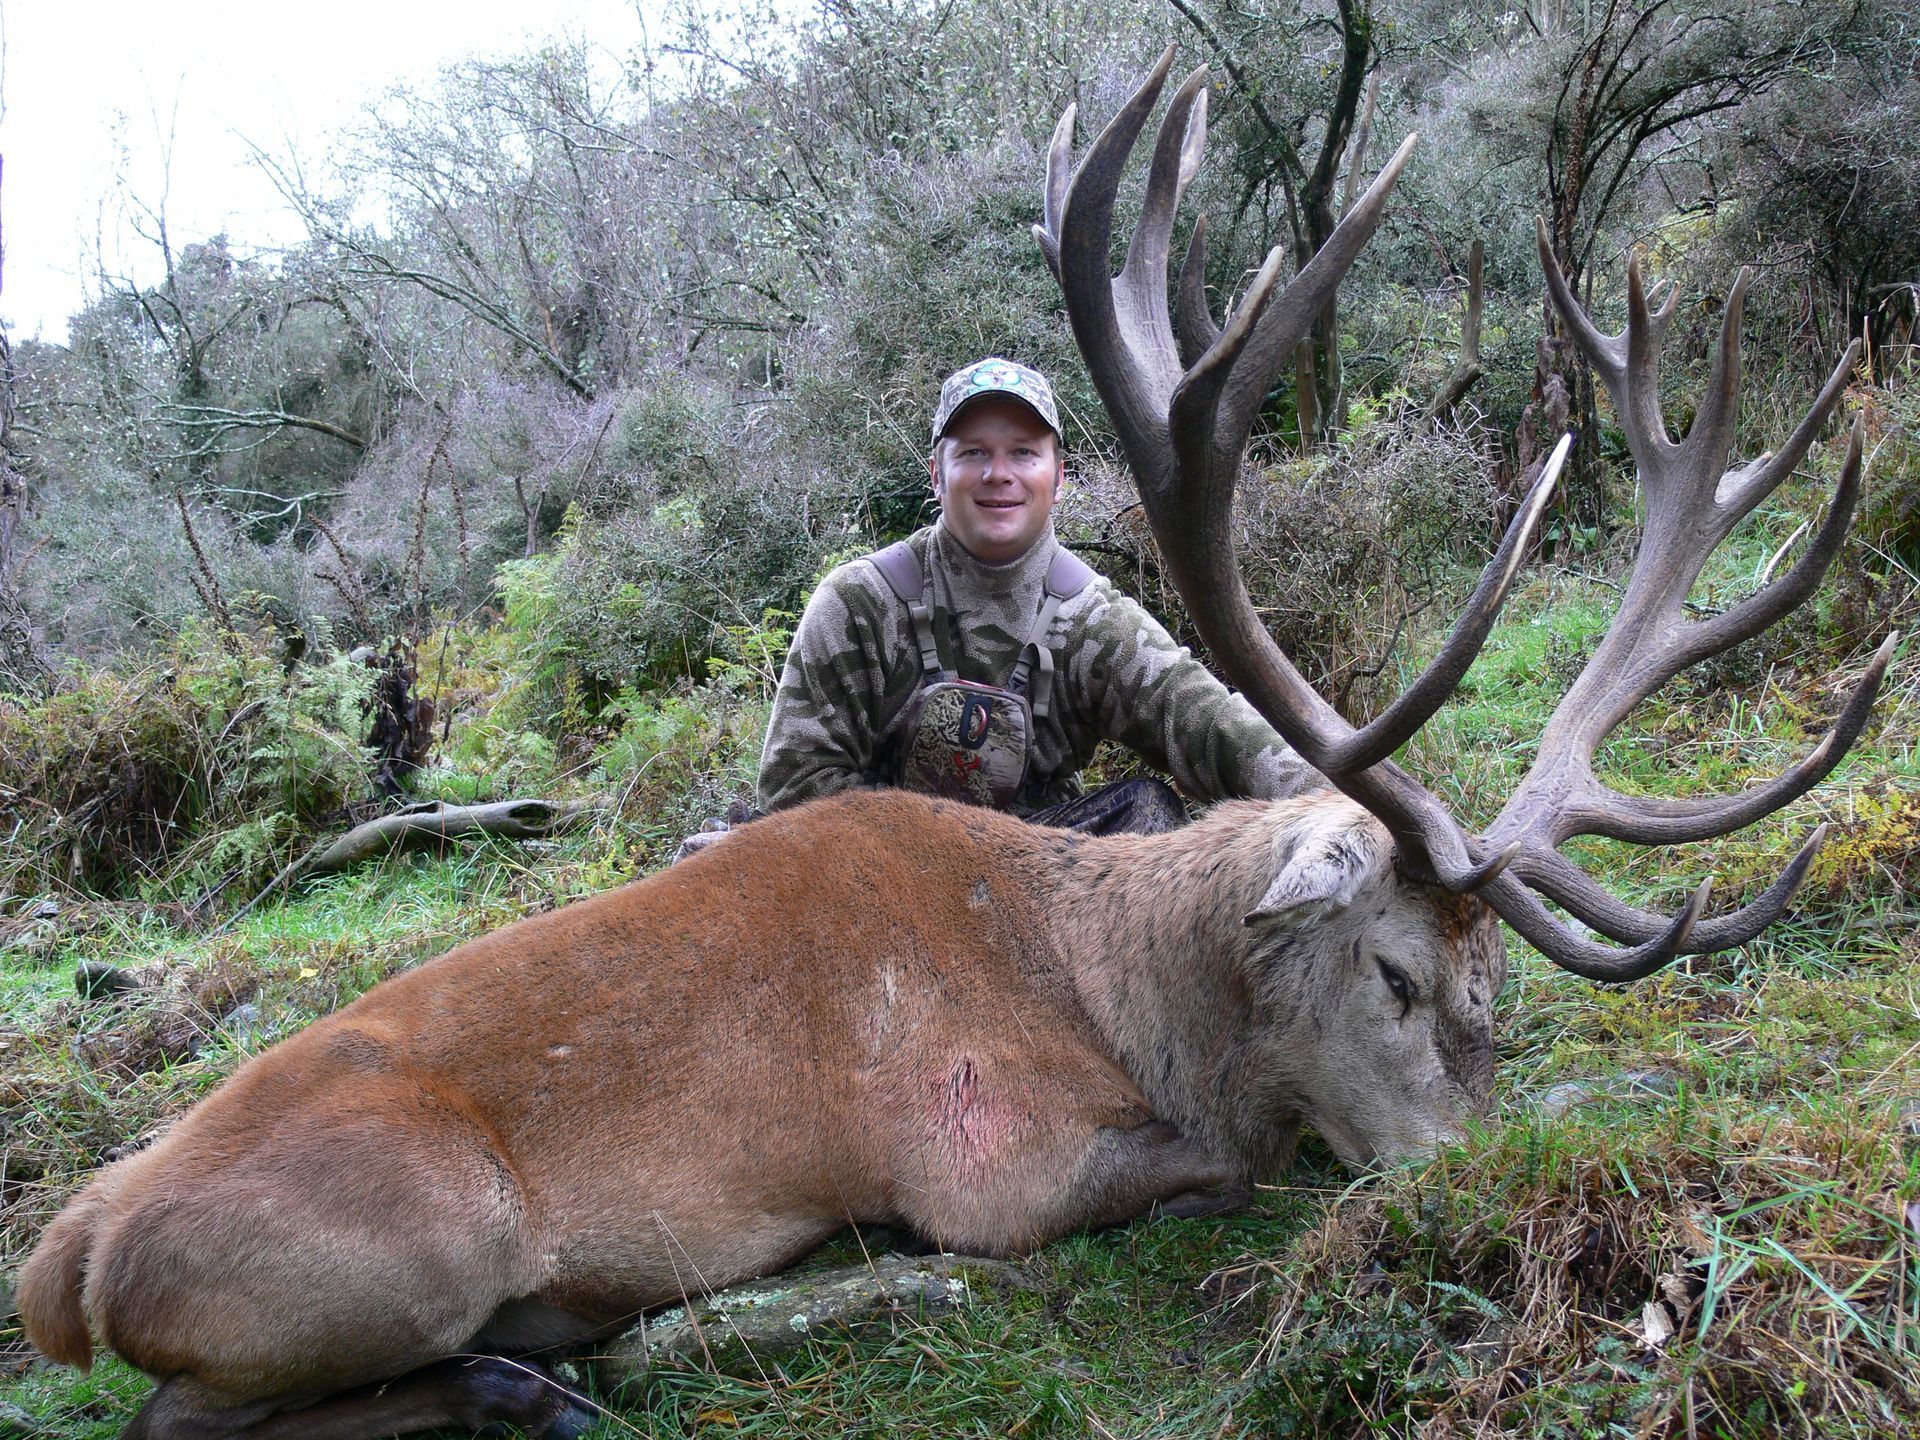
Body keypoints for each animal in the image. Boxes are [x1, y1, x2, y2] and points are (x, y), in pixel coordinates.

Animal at [17, 49, 1893, 1440]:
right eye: (1395, 976)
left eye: (1499, 991)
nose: (1479, 1194)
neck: (1126, 983)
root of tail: (68, 1260)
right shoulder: (983, 1157)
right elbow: (1220, 1162)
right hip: (417, 1233)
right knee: (181, 1415)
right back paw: (533, 1373)